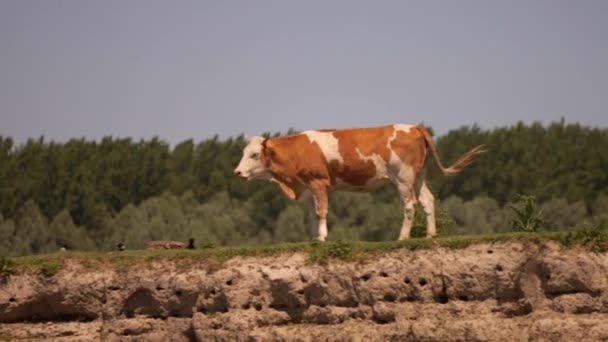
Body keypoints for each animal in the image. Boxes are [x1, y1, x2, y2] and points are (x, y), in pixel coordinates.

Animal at [233, 125, 484, 240]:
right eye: (244, 152)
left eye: (254, 154)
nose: (237, 172)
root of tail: (413, 126)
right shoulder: (308, 187)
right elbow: (313, 214)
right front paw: (315, 237)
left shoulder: (319, 182)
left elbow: (321, 212)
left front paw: (322, 237)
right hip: (419, 175)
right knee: (428, 200)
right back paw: (430, 234)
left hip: (403, 178)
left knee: (410, 204)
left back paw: (402, 236)